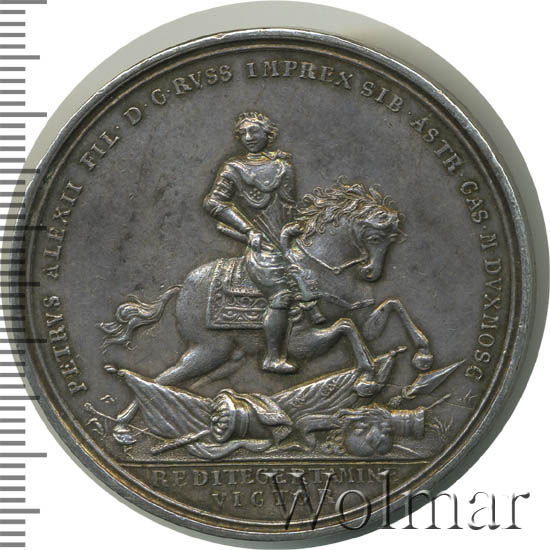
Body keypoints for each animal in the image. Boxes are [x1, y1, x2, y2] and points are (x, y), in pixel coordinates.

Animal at [100, 182, 433, 426]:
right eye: (375, 237)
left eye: (392, 240)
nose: (372, 273)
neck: (320, 266)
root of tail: (182, 290)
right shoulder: (304, 340)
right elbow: (347, 327)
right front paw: (366, 377)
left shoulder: (364, 312)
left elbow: (391, 306)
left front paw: (423, 353)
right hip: (207, 349)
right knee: (163, 378)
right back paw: (127, 422)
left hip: (225, 358)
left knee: (185, 382)